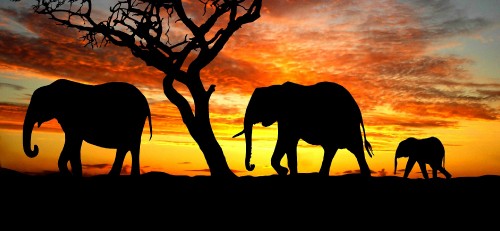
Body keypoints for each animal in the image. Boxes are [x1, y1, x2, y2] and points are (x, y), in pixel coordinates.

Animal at [21, 78, 153, 176]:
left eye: (38, 104)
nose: (35, 148)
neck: (51, 87)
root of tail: (145, 101)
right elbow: (74, 145)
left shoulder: (74, 119)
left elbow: (72, 142)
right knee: (126, 147)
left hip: (134, 121)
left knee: (131, 146)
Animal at [232, 81, 374, 177]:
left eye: (258, 106)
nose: (252, 165)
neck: (276, 88)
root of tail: (358, 109)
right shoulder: (284, 118)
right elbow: (287, 143)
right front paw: (287, 172)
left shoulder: (290, 117)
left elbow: (286, 140)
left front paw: (285, 172)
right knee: (335, 149)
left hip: (346, 124)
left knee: (354, 149)